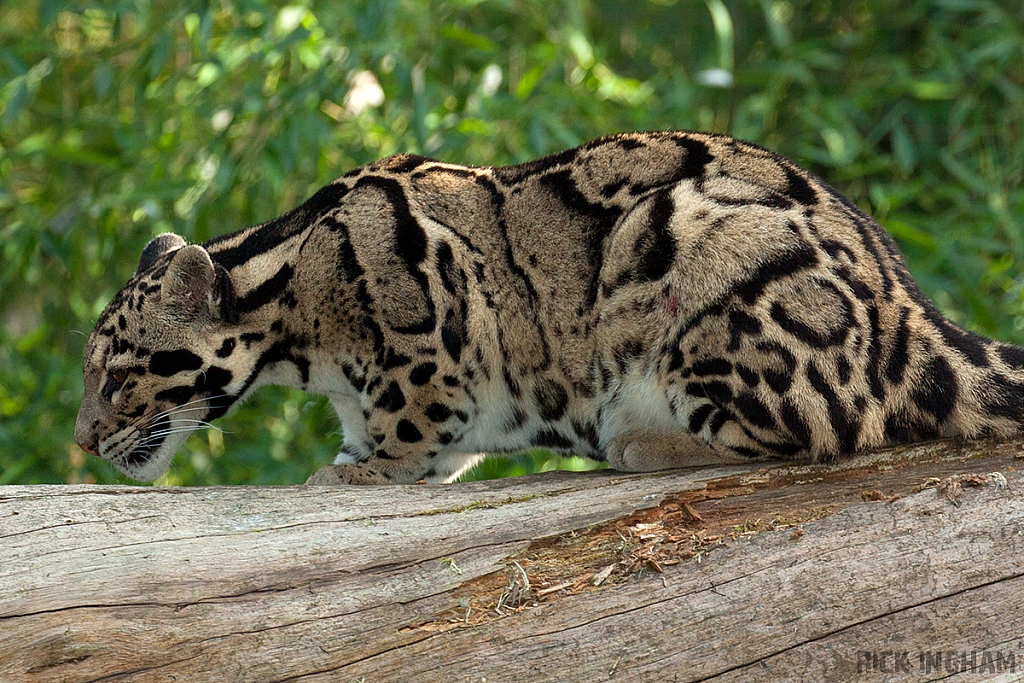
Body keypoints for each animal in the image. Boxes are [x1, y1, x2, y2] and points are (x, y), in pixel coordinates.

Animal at [75, 132, 1024, 485]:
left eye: (117, 378)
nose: (81, 441)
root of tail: (910, 316)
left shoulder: (436, 328)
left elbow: (405, 431)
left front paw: (359, 472)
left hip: (690, 261)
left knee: (821, 429)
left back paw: (641, 438)